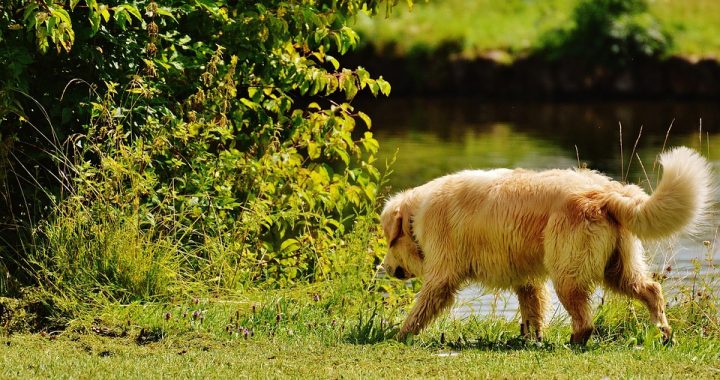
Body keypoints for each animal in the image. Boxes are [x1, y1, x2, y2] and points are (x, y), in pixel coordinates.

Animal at [382, 148, 716, 344]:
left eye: (388, 241)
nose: (384, 268)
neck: (416, 214)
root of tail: (606, 193)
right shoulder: (527, 279)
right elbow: (532, 309)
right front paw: (532, 339)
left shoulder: (442, 275)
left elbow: (422, 307)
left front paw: (400, 334)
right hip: (619, 268)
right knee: (651, 289)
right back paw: (664, 332)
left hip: (568, 271)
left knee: (584, 320)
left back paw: (575, 341)